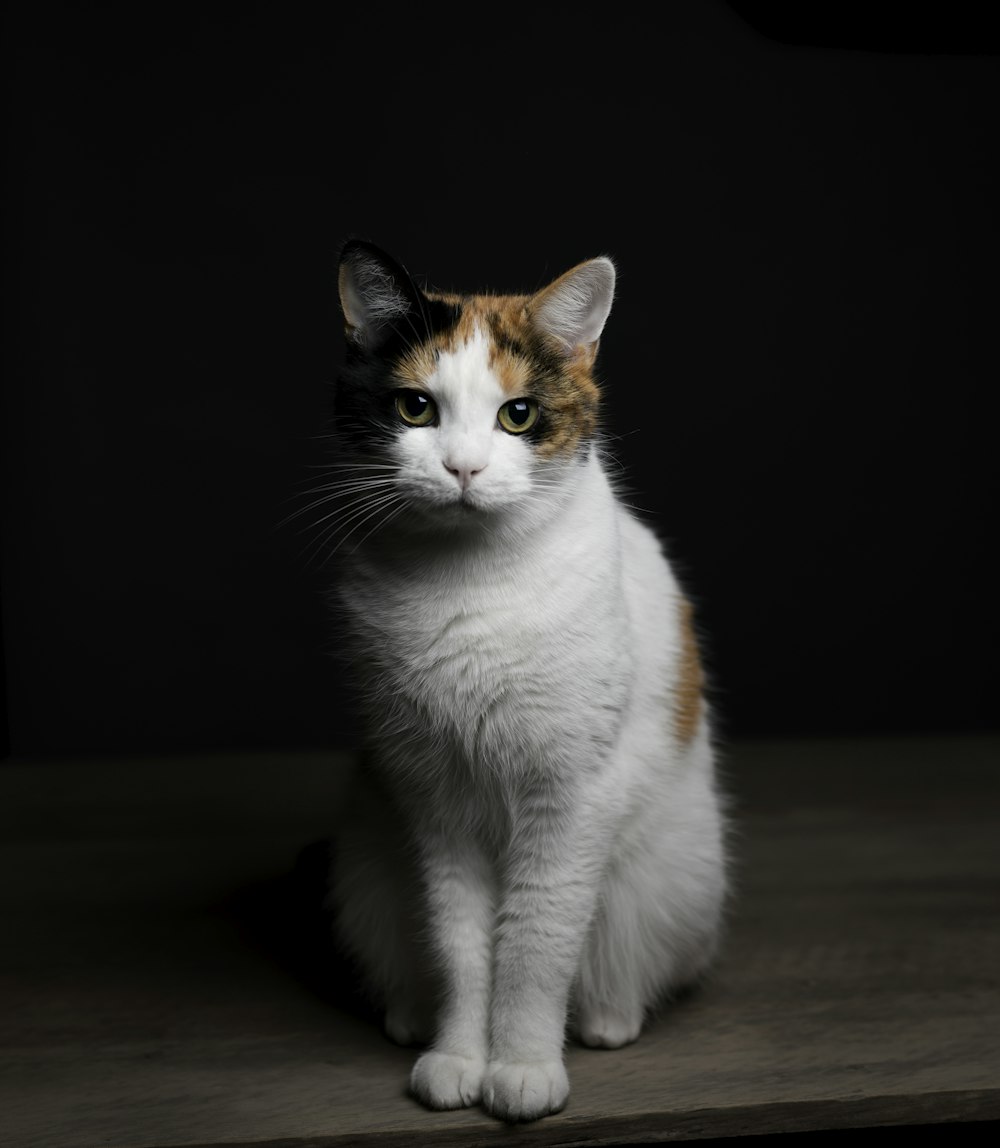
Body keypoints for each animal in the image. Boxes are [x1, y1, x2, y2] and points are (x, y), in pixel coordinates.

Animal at [321, 237, 725, 1125]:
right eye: (415, 409)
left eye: (519, 415)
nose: (464, 469)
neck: (470, 589)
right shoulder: (433, 801)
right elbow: (463, 945)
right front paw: (459, 1058)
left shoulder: (569, 798)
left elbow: (536, 942)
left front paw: (525, 1068)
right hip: (366, 868)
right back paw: (410, 1014)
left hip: (668, 878)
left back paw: (609, 1017)